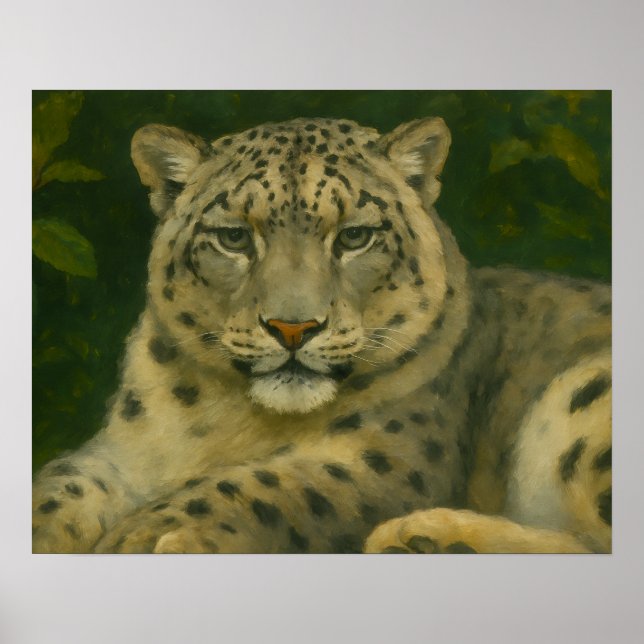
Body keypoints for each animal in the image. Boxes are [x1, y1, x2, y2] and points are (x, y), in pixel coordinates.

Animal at [32, 115, 611, 554]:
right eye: (234, 237)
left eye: (355, 236)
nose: (294, 327)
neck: (227, 419)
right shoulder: (117, 454)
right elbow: (56, 491)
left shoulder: (385, 460)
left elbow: (254, 484)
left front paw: (141, 536)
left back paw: (424, 539)